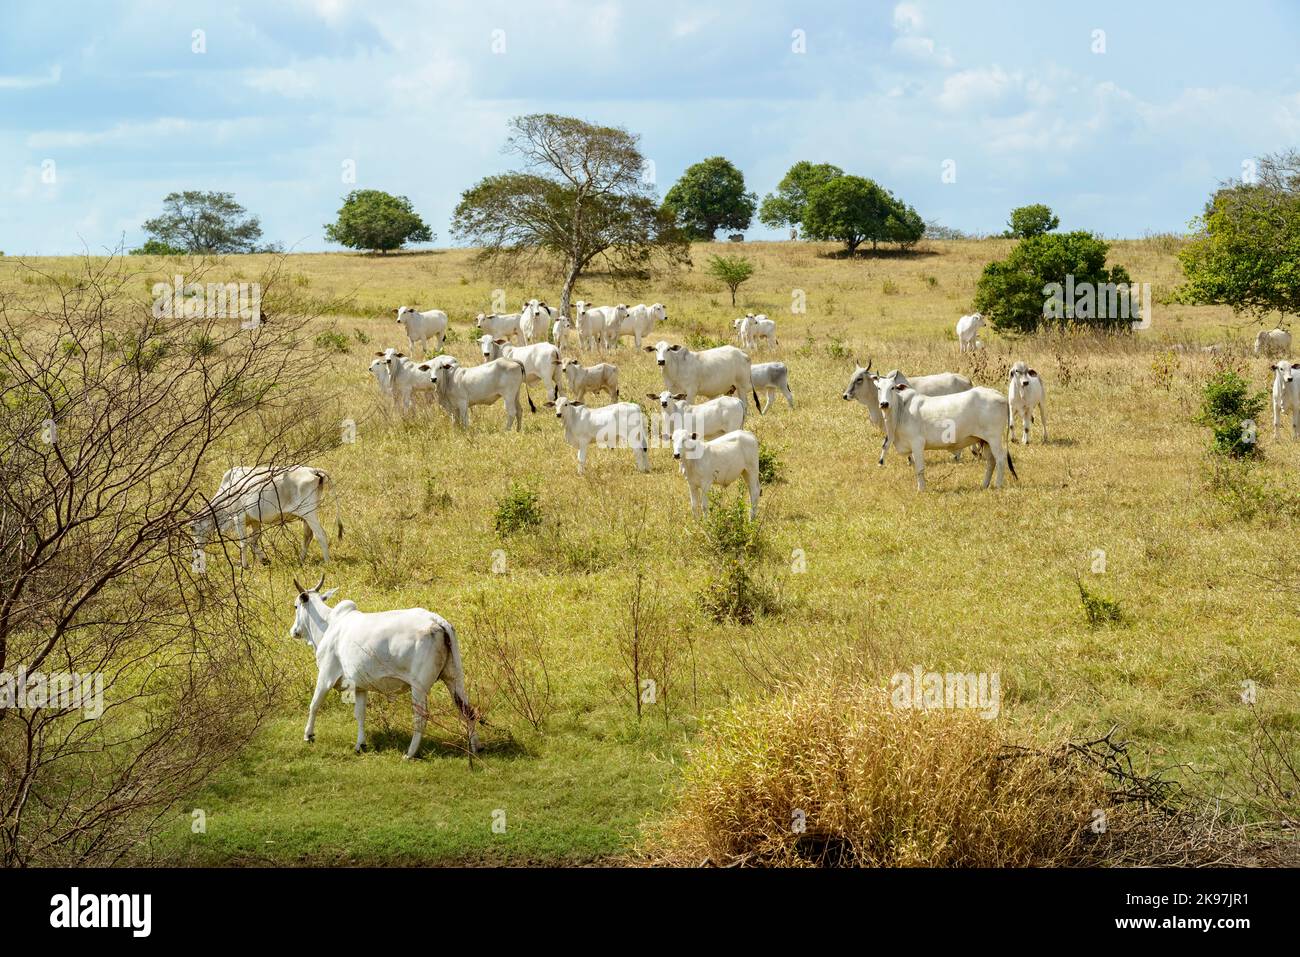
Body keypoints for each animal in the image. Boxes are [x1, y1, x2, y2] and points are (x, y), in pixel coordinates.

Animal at [192, 465, 343, 566]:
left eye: (193, 528)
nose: (196, 548)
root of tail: (312, 470)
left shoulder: (238, 517)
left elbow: (244, 542)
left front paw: (244, 566)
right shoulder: (255, 521)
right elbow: (253, 541)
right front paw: (264, 559)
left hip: (309, 513)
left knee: (321, 535)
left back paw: (327, 562)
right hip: (306, 517)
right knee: (308, 537)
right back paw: (301, 560)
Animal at [289, 572, 483, 759]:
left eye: (296, 606)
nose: (294, 631)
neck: (328, 624)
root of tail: (438, 621)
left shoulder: (326, 676)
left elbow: (314, 705)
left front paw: (308, 735)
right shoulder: (360, 686)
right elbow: (360, 714)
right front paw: (360, 745)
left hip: (418, 686)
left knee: (420, 718)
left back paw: (410, 754)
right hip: (455, 678)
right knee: (467, 711)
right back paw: (475, 749)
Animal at [873, 371, 1013, 494]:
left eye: (892, 388)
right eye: (879, 388)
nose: (884, 404)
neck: (901, 410)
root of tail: (999, 395)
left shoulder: (917, 443)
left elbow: (919, 469)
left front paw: (921, 490)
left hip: (994, 438)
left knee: (1000, 459)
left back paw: (998, 485)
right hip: (985, 441)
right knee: (991, 462)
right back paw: (984, 485)